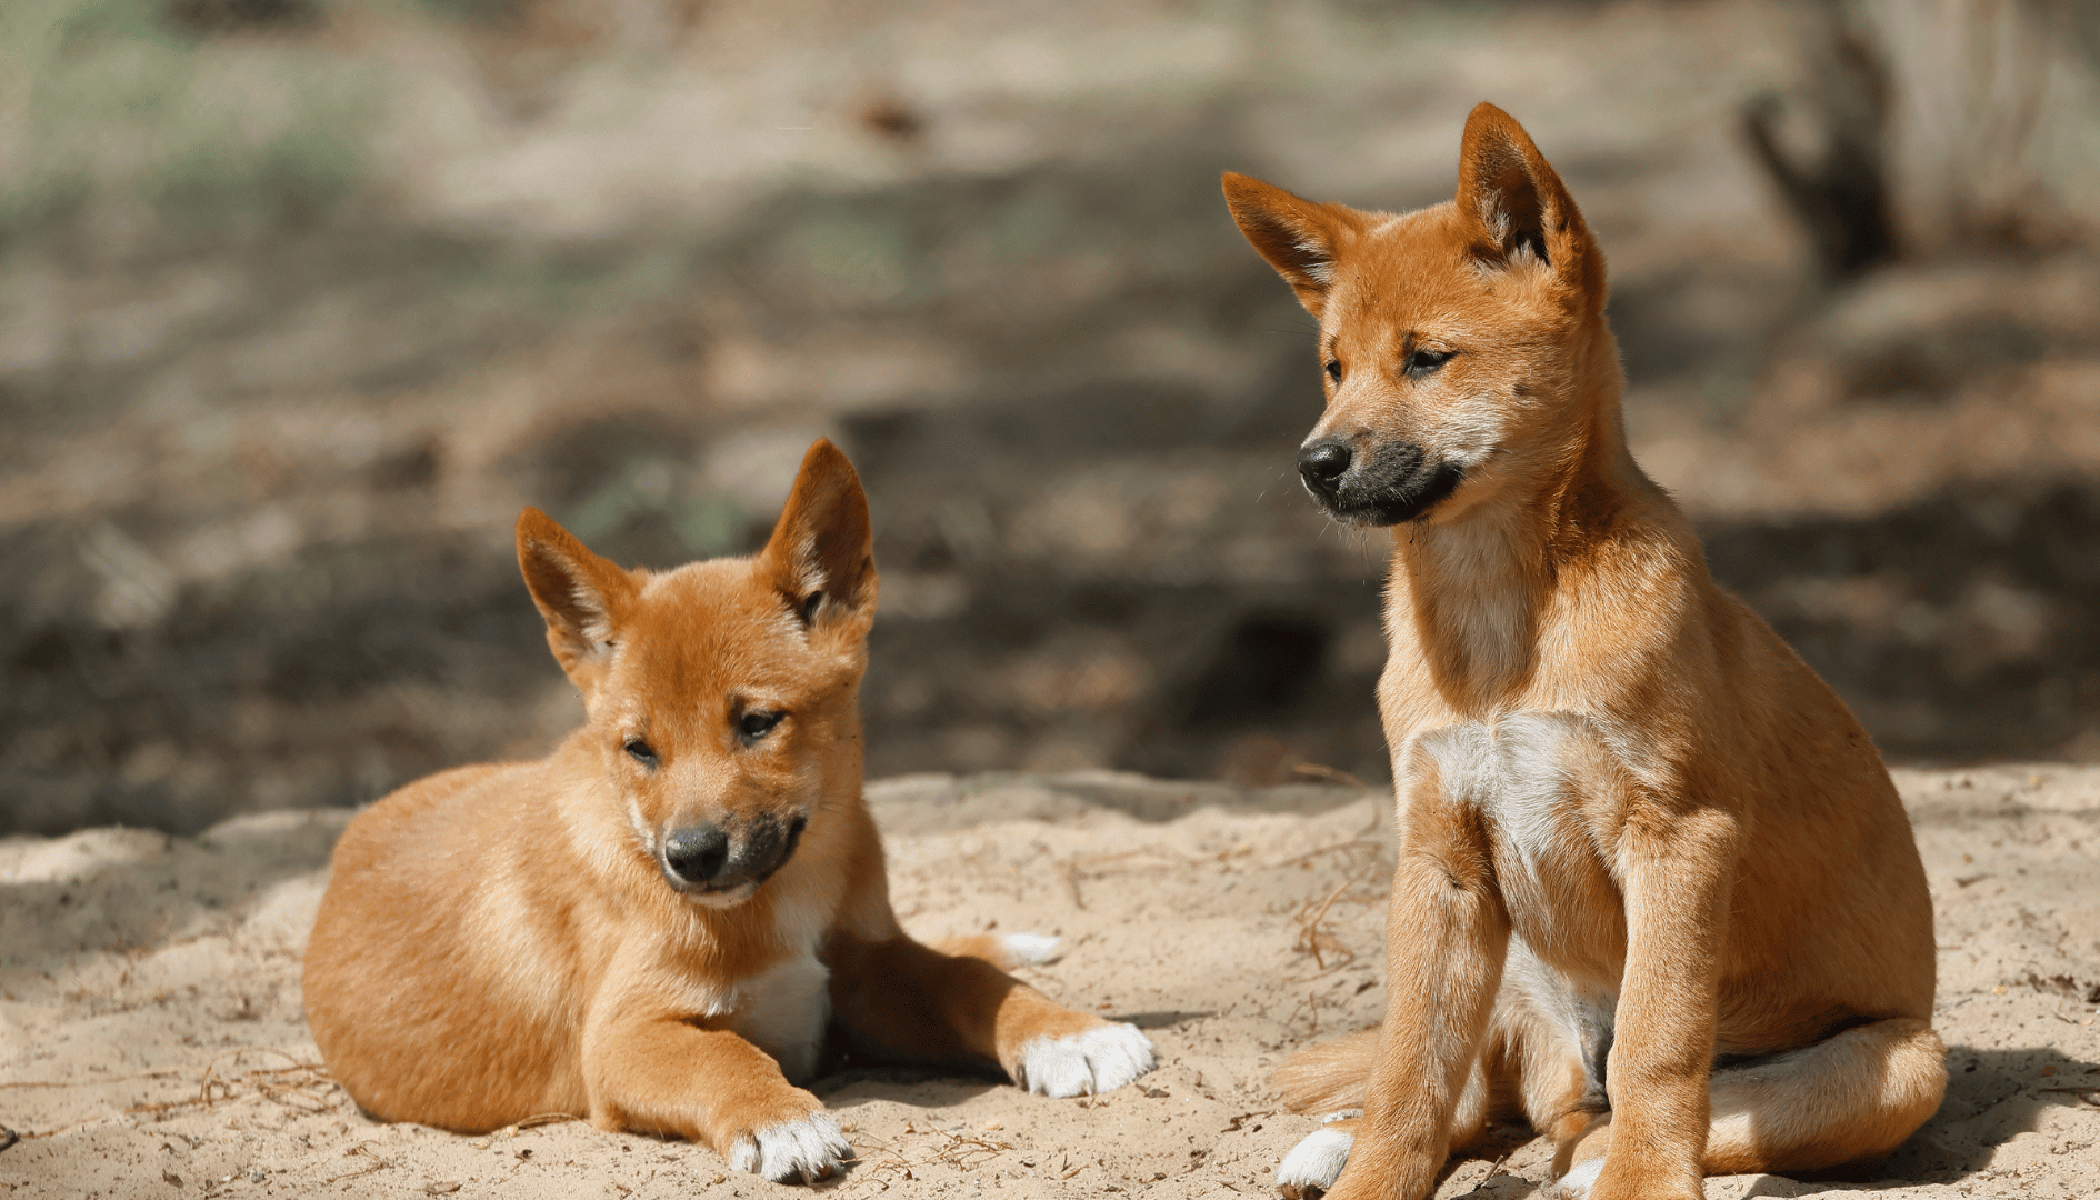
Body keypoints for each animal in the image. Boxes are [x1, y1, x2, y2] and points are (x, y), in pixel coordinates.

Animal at [304, 439, 1159, 1185]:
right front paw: (778, 1118)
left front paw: (1068, 1031)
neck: (784, 898)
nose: (690, 857)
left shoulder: (865, 973)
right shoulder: (623, 1037)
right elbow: (722, 1055)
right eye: (639, 749)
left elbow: (963, 978)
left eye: (757, 723)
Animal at [1226, 105, 1940, 1200]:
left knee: (1663, 1111)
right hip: (1508, 972)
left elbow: (1659, 1045)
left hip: (1902, 1064)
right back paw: (1337, 1145)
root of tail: (1569, 1071)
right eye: (1334, 368)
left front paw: (1644, 1181)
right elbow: (1411, 1069)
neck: (1500, 627)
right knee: (1484, 1098)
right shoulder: (1440, 859)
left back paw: (1598, 1160)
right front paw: (1373, 1174)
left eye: (1427, 358)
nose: (1314, 464)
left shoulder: (1680, 839)